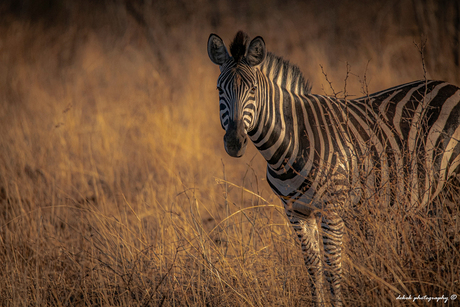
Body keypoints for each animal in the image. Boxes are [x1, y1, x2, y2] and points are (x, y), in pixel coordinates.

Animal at [208, 31, 460, 307]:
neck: (291, 144)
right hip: (436, 195)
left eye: (253, 90)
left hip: (454, 185)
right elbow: (313, 267)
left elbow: (333, 268)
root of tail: (452, 87)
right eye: (219, 90)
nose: (234, 142)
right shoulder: (296, 212)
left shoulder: (332, 209)